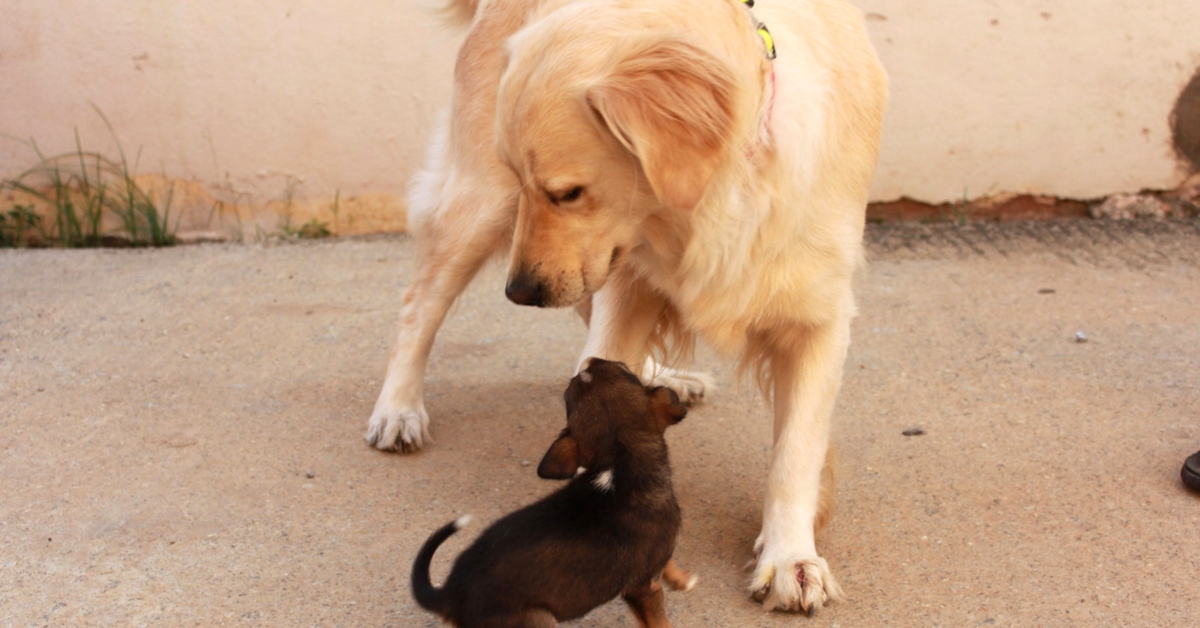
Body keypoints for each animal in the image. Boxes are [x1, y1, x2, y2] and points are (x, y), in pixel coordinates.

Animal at [412, 357, 696, 628]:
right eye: (627, 370)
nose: (591, 360)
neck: (618, 460)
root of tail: (449, 594)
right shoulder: (643, 588)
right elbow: (659, 622)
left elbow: (669, 562)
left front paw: (682, 580)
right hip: (537, 620)